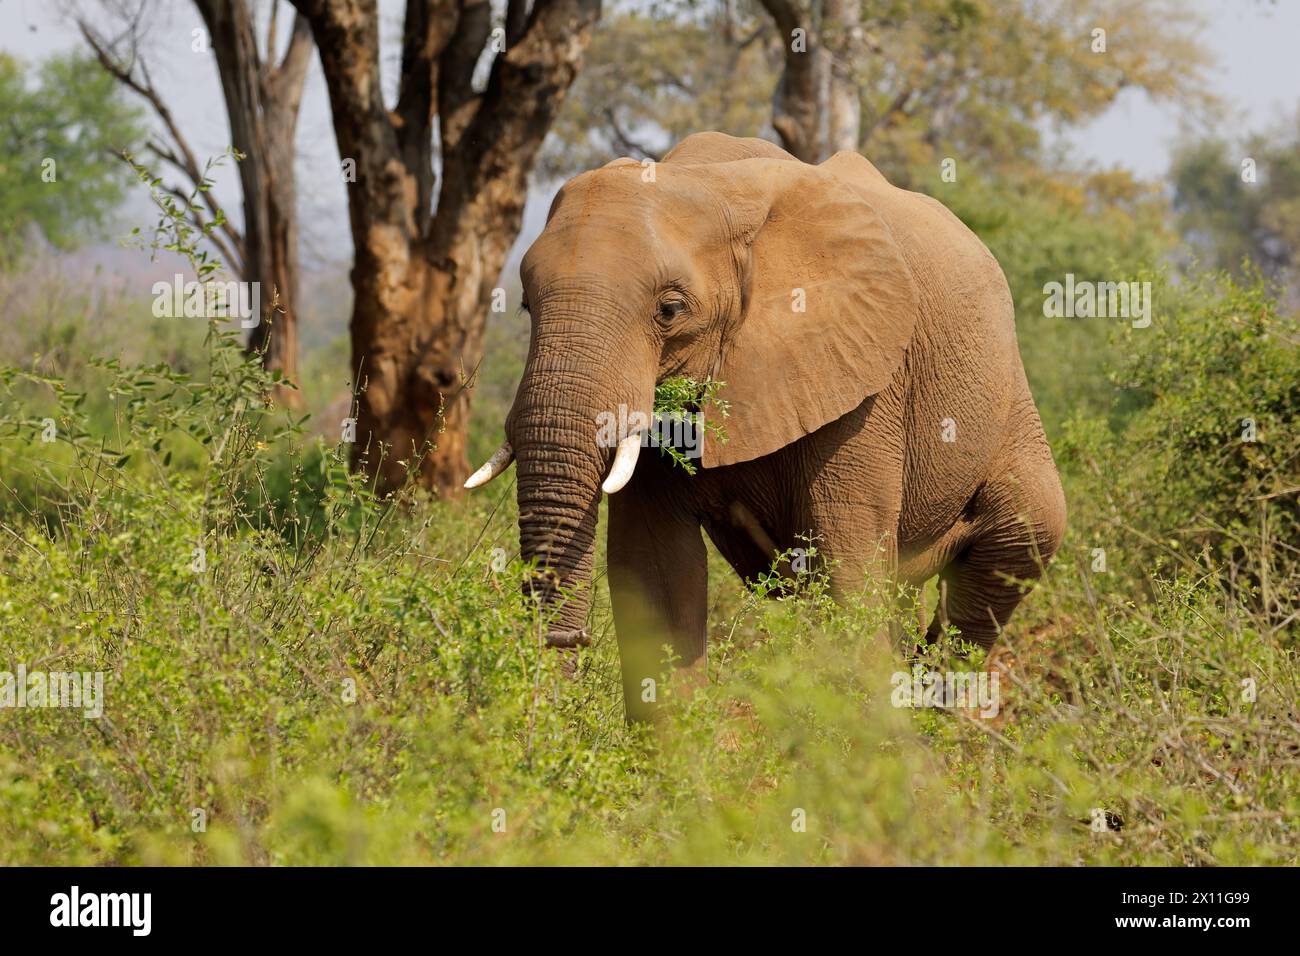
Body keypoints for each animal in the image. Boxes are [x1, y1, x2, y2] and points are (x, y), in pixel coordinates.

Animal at [465, 131, 1066, 720]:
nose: (566, 641)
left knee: (1017, 545)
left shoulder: (864, 383)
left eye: (669, 310)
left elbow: (845, 569)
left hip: (1007, 399)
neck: (711, 183)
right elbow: (653, 574)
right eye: (525, 304)